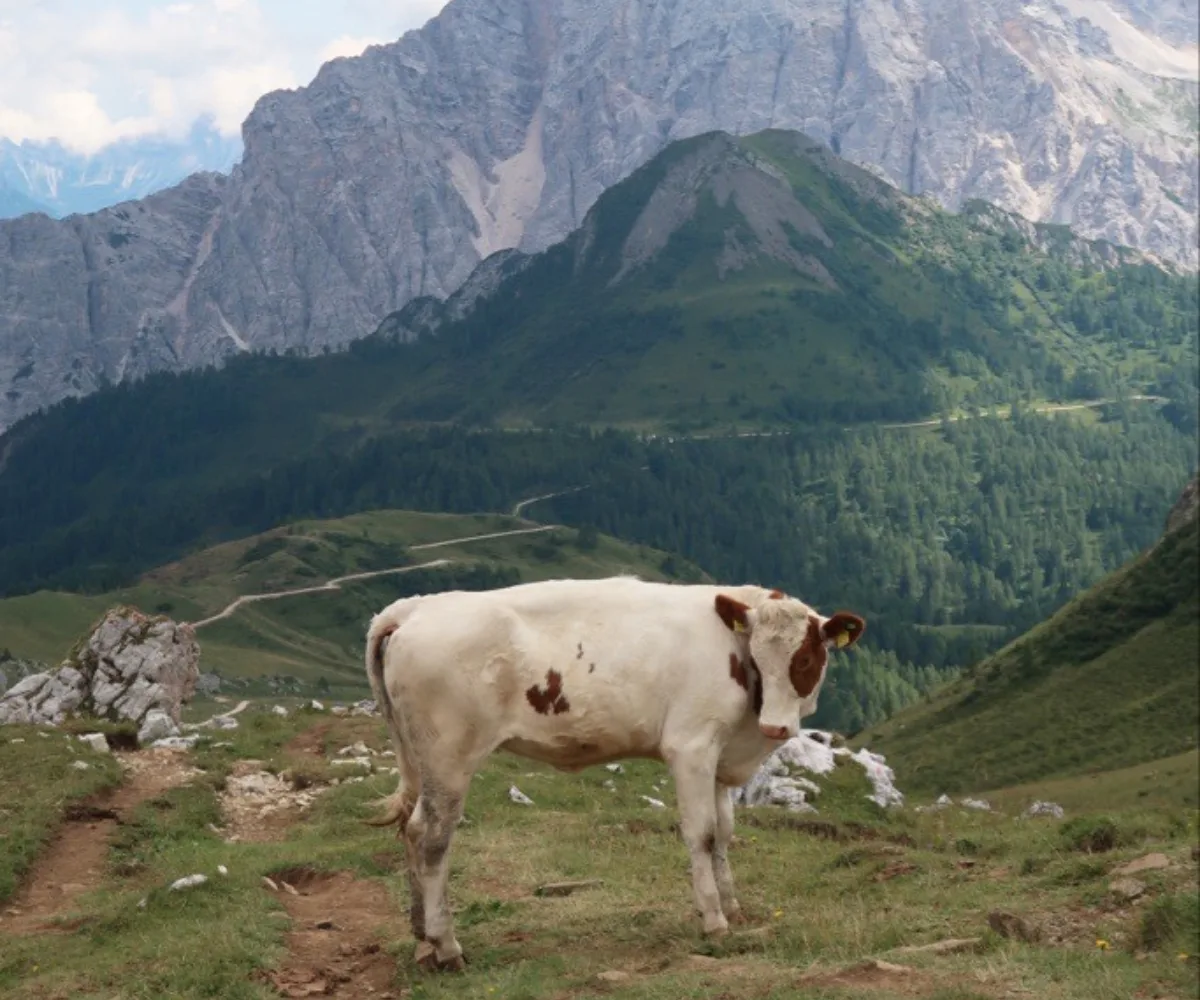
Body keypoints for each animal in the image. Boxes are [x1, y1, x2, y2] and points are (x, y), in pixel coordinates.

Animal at [363, 576, 865, 971]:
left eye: (805, 659)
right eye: (758, 658)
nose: (776, 726)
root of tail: (416, 606)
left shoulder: (720, 759)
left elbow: (724, 834)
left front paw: (734, 907)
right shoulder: (691, 746)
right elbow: (701, 834)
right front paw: (714, 920)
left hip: (420, 758)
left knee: (410, 829)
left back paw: (422, 940)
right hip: (449, 756)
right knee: (432, 837)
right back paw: (447, 947)